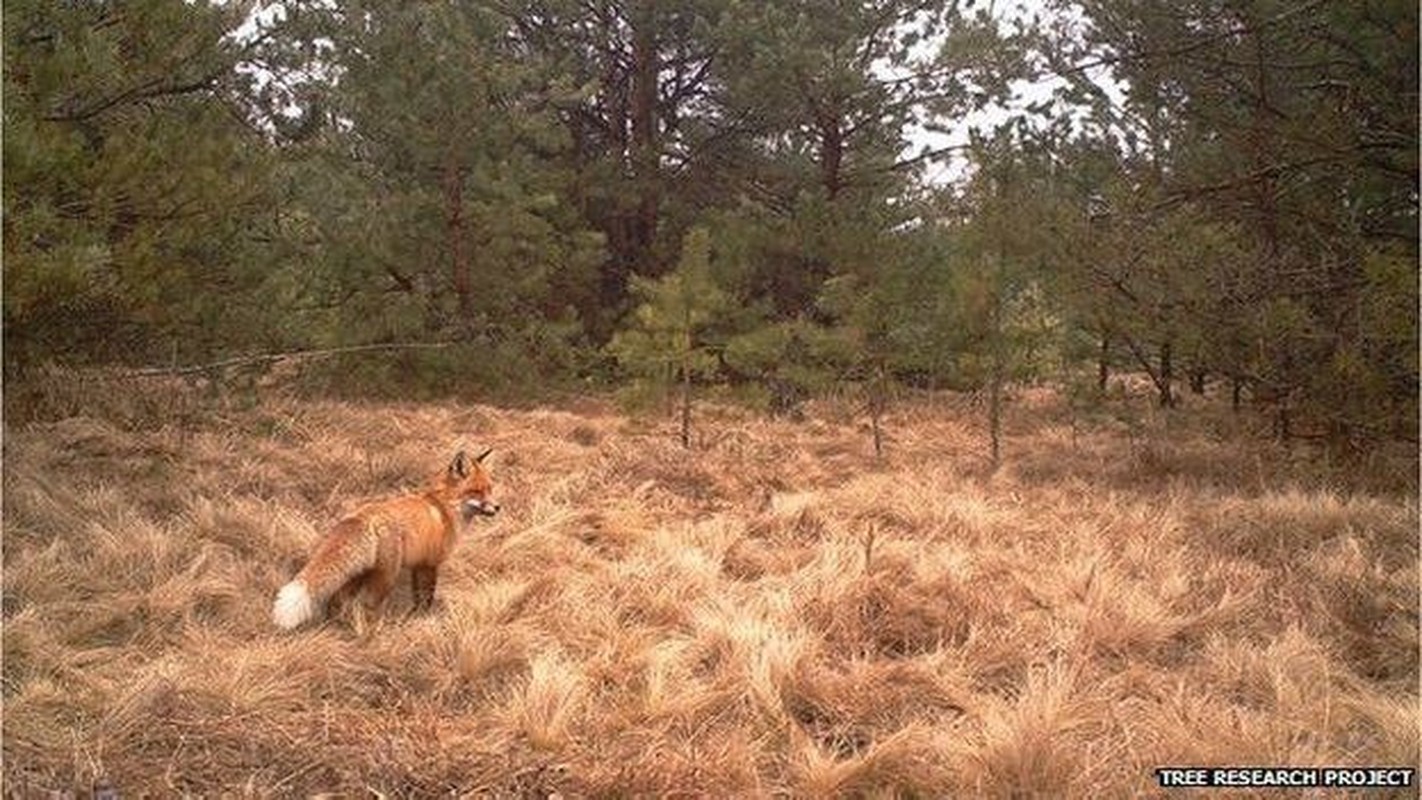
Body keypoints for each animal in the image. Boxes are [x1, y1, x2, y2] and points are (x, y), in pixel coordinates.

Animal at [271, 451, 500, 633]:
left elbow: (417, 599)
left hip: (357, 575)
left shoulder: (418, 565)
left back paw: (336, 629)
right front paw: (425, 620)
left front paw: (414, 618)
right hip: (386, 577)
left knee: (337, 601)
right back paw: (372, 633)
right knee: (367, 605)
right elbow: (426, 598)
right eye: (477, 491)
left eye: (490, 489)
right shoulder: (430, 564)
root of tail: (362, 516)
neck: (444, 507)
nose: (498, 507)